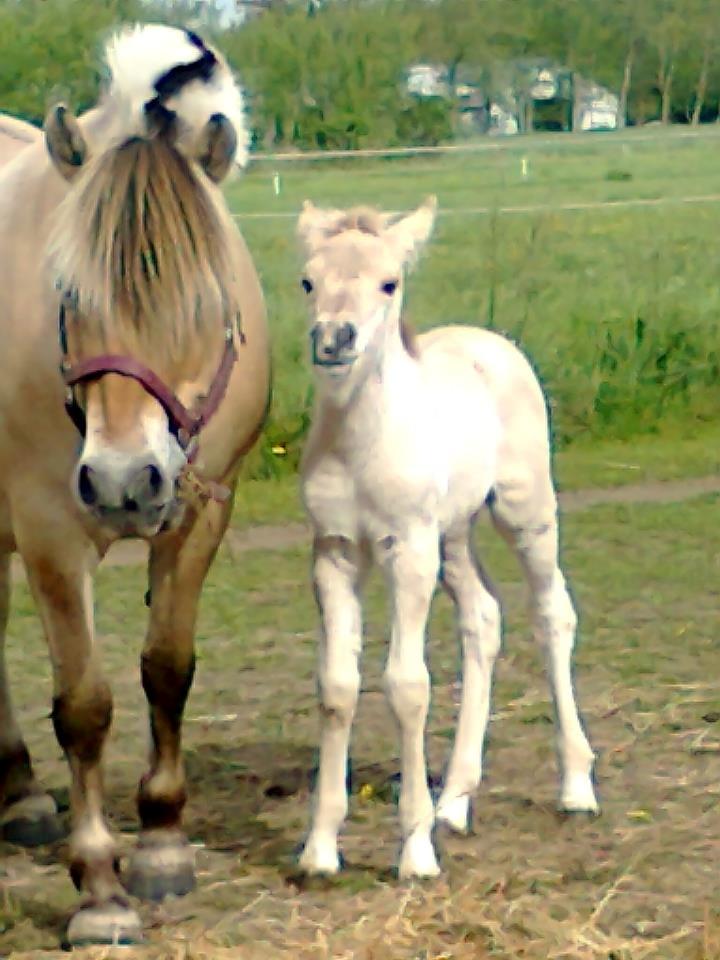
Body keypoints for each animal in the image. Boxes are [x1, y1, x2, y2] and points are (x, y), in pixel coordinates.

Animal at [0, 22, 270, 944]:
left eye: (207, 301)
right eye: (66, 293)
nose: (123, 484)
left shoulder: (199, 516)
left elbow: (167, 669)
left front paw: (160, 844)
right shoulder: (47, 529)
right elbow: (83, 704)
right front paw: (99, 890)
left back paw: (17, 793)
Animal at [296, 199, 596, 880]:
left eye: (389, 282)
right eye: (307, 281)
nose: (334, 340)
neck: (360, 440)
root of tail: (489, 341)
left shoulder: (407, 549)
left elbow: (407, 686)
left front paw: (414, 850)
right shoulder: (334, 552)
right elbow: (337, 686)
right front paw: (320, 849)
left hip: (523, 511)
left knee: (553, 614)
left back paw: (576, 786)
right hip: (453, 536)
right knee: (483, 618)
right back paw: (455, 801)